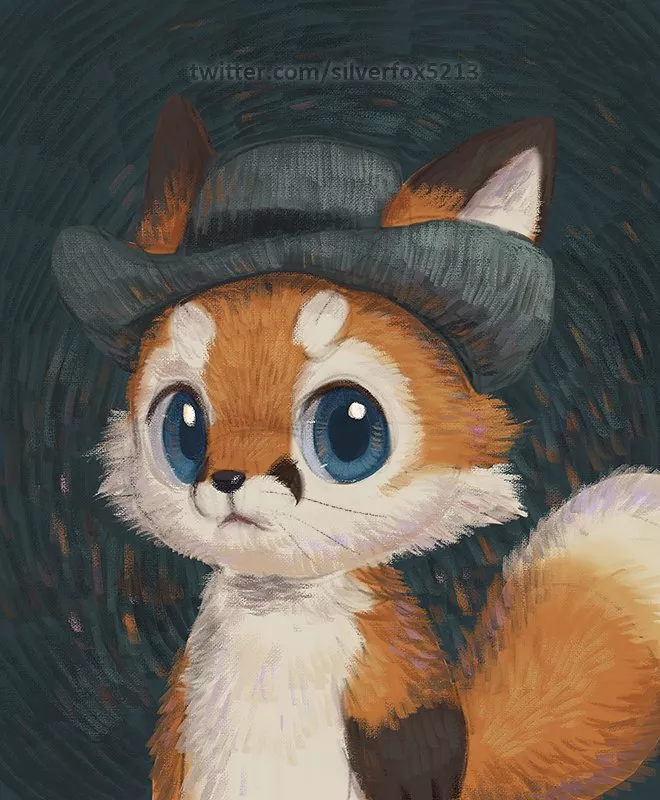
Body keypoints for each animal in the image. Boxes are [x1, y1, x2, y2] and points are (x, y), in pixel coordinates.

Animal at [51, 96, 660, 800]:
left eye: (347, 430)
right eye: (184, 427)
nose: (228, 479)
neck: (275, 617)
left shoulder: (398, 698)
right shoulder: (180, 719)